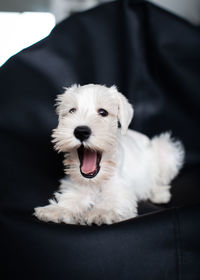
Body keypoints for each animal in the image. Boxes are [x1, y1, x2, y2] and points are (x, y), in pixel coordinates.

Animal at [34, 83, 184, 225]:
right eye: (72, 110)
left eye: (103, 112)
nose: (81, 132)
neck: (96, 180)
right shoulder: (78, 188)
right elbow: (70, 199)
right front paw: (56, 209)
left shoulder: (119, 191)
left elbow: (112, 202)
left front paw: (101, 212)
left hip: (165, 149)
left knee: (159, 180)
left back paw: (159, 194)